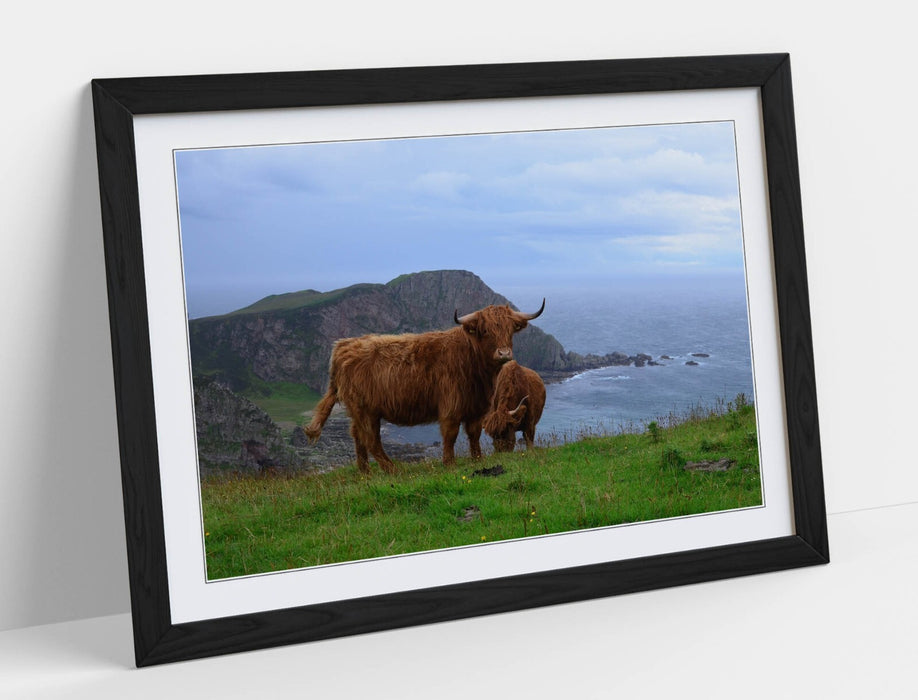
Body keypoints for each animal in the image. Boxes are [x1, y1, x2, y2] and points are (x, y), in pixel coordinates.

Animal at [303, 300, 545, 473]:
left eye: (510, 329)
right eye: (485, 331)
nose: (504, 353)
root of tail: (343, 346)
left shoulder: (477, 409)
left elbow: (474, 435)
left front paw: (477, 460)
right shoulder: (450, 406)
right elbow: (450, 435)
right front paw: (449, 463)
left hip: (358, 411)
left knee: (357, 436)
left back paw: (365, 472)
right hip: (365, 410)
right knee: (370, 439)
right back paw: (393, 470)